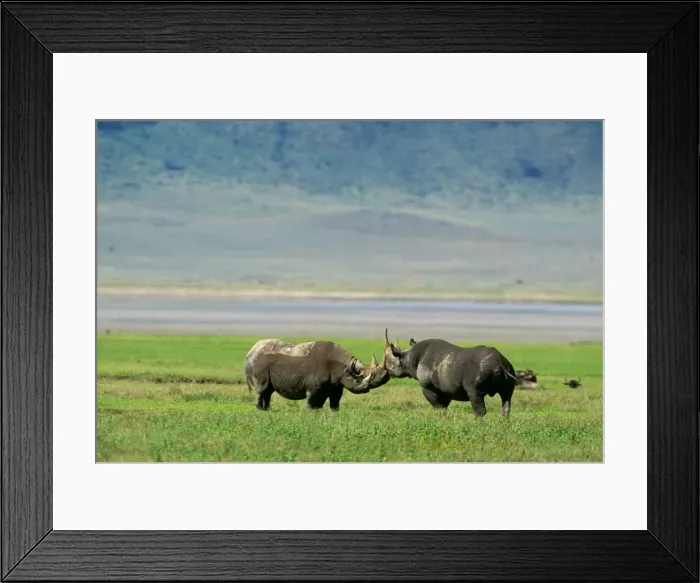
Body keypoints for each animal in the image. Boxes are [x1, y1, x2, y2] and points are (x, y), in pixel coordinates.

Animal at [244, 339, 390, 411]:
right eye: (358, 380)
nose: (366, 389)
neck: (342, 366)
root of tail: (250, 352)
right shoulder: (314, 387)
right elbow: (311, 401)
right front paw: (310, 413)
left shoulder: (335, 385)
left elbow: (334, 402)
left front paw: (333, 413)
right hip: (261, 366)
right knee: (262, 389)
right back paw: (259, 410)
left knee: (269, 391)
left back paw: (268, 410)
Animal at [380, 329, 517, 417]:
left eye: (390, 365)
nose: (388, 373)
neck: (407, 357)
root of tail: (499, 361)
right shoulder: (445, 386)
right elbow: (443, 405)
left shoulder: (427, 386)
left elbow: (437, 406)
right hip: (510, 368)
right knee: (506, 396)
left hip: (479, 374)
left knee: (475, 395)